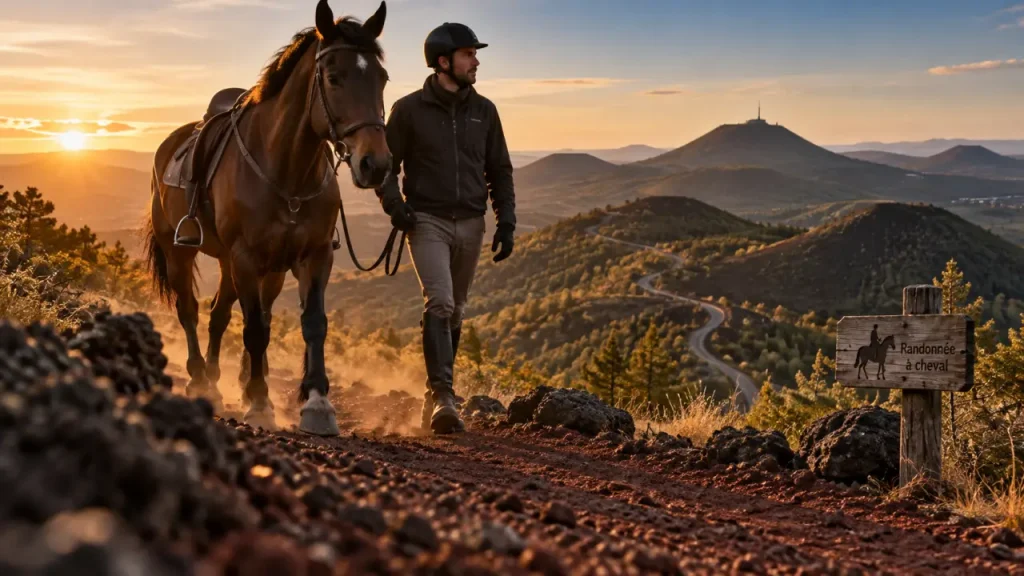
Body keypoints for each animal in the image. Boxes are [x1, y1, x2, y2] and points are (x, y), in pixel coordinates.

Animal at [144, 0, 391, 436]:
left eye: (381, 78)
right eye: (334, 78)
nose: (374, 164)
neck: (287, 170)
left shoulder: (313, 257)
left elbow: (311, 323)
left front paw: (317, 403)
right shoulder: (245, 258)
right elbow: (255, 329)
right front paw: (259, 403)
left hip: (241, 265)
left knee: (220, 315)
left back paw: (216, 381)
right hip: (183, 254)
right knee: (190, 310)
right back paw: (198, 380)